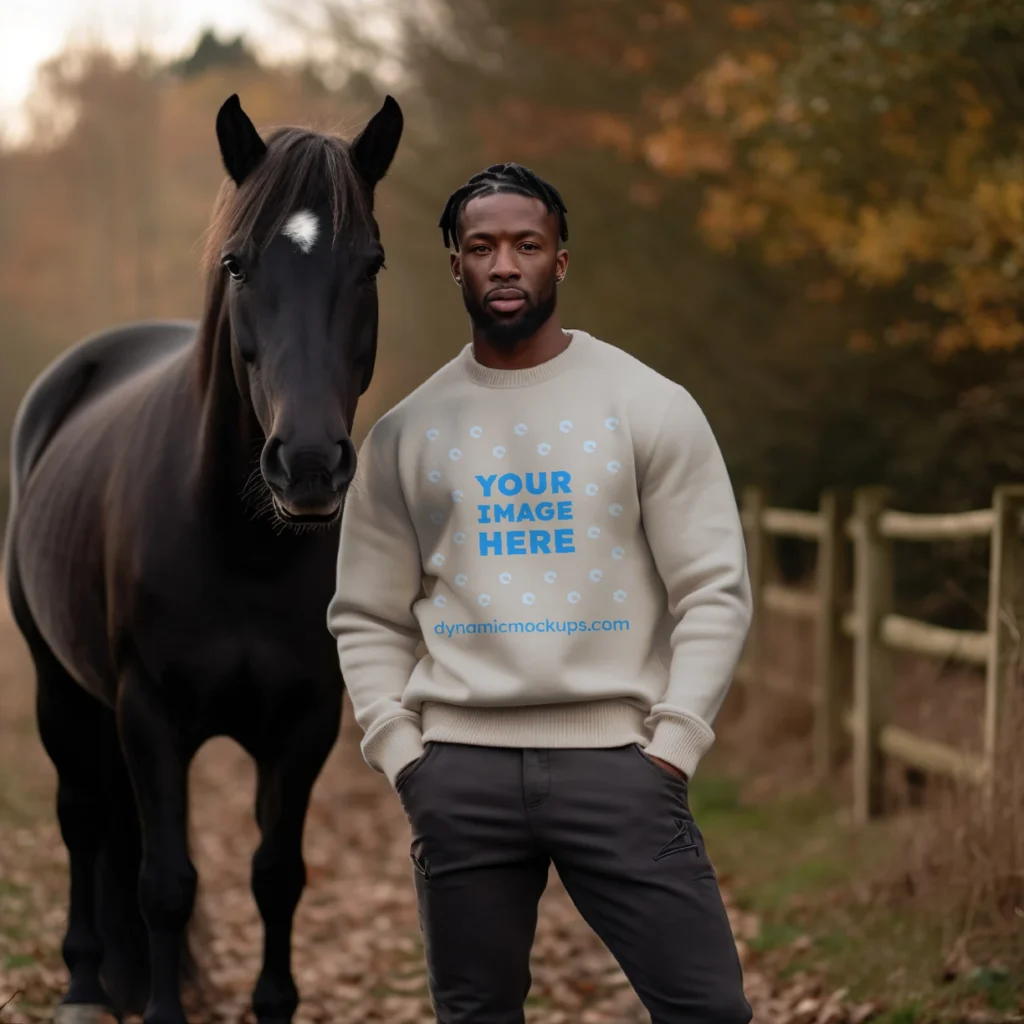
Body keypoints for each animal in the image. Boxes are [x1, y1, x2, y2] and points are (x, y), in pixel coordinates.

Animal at [4, 92, 403, 1019]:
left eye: (371, 264)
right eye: (237, 264)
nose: (308, 464)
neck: (239, 547)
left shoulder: (304, 724)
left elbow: (277, 877)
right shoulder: (150, 717)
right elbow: (166, 884)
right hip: (59, 688)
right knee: (83, 817)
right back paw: (85, 984)